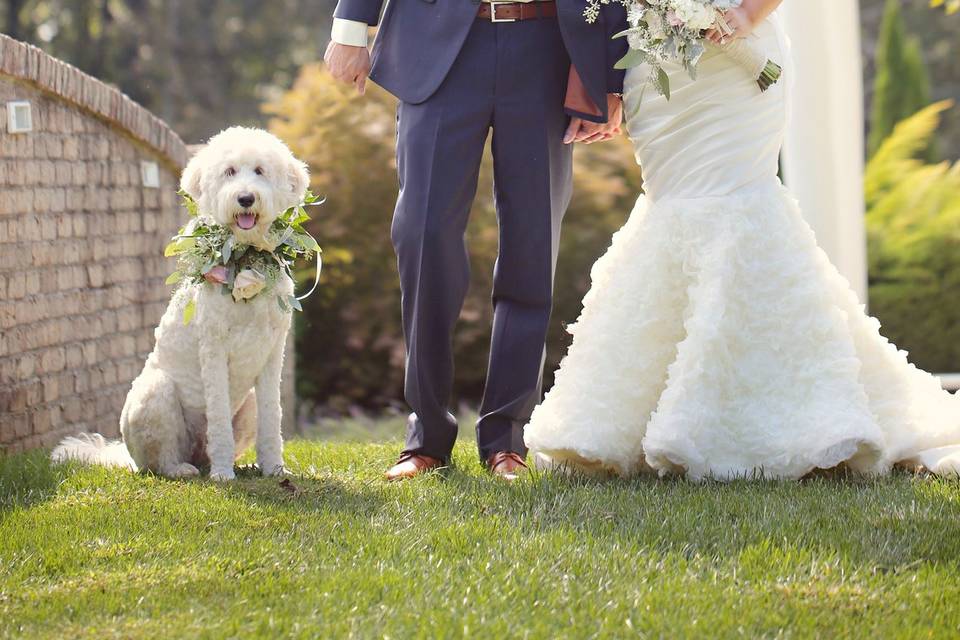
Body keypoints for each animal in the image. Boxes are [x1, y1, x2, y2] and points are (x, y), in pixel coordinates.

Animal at [52, 127, 310, 480]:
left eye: (260, 171)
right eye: (229, 172)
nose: (245, 198)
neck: (245, 260)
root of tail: (127, 457)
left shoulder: (272, 354)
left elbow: (273, 416)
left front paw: (274, 468)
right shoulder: (213, 350)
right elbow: (218, 417)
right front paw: (223, 475)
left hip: (248, 403)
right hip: (154, 393)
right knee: (158, 461)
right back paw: (184, 468)